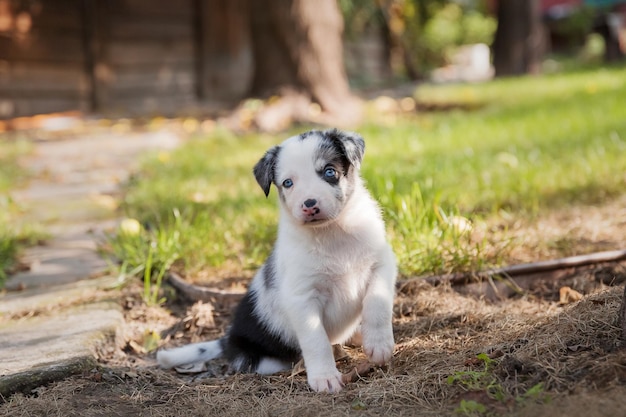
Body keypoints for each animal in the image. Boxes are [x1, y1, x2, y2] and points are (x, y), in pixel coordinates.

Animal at [158, 128, 398, 392]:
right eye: (288, 183)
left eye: (329, 171)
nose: (309, 205)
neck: (333, 234)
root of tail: (228, 339)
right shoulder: (302, 298)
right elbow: (317, 341)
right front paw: (324, 376)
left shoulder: (382, 264)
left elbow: (377, 303)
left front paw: (379, 344)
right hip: (258, 356)